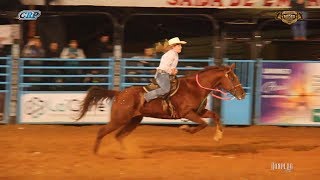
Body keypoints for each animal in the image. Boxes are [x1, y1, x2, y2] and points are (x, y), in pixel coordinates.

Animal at [77, 63, 245, 153]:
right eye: (232, 77)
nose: (242, 94)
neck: (194, 88)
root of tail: (119, 93)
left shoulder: (200, 111)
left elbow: (215, 116)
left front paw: (218, 136)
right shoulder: (187, 113)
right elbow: (202, 124)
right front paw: (185, 128)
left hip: (134, 120)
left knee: (119, 136)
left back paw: (126, 153)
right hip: (119, 119)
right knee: (102, 131)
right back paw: (96, 153)